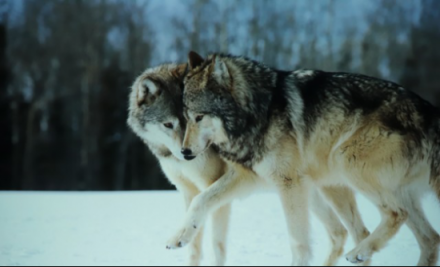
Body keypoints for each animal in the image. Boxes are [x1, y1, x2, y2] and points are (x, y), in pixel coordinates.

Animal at [179, 51, 440, 266]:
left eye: (200, 117)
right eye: (186, 117)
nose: (184, 152)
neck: (260, 111)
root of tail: (428, 111)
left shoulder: (289, 184)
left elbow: (298, 242)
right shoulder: (250, 177)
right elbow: (200, 199)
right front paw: (180, 237)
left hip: (345, 161)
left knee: (396, 215)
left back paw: (359, 252)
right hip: (340, 186)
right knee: (429, 239)